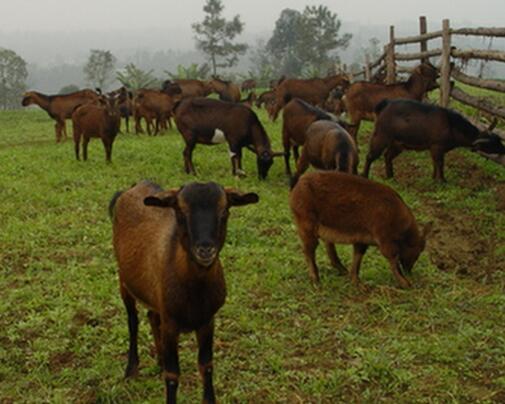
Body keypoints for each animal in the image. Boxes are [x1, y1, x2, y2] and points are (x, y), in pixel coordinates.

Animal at [110, 181, 260, 404]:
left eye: (224, 210)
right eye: (180, 211)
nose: (205, 249)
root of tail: (134, 186)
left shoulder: (207, 320)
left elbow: (206, 366)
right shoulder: (171, 323)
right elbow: (172, 375)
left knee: (152, 316)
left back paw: (160, 360)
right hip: (124, 281)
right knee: (133, 322)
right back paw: (131, 369)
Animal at [288, 172, 430, 288]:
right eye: (417, 253)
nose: (409, 272)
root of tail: (297, 186)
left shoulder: (362, 239)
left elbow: (358, 256)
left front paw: (357, 282)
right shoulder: (384, 237)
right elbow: (392, 258)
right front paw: (405, 283)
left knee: (327, 244)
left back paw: (342, 271)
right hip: (306, 222)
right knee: (308, 250)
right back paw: (316, 281)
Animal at [362, 98, 500, 181]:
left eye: (499, 140)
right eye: (493, 144)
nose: (503, 150)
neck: (451, 124)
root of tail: (385, 104)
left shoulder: (435, 149)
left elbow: (435, 162)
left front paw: (434, 178)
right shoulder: (437, 146)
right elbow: (440, 163)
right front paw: (442, 180)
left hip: (397, 144)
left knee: (387, 156)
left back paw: (390, 176)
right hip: (381, 136)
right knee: (370, 156)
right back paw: (365, 175)